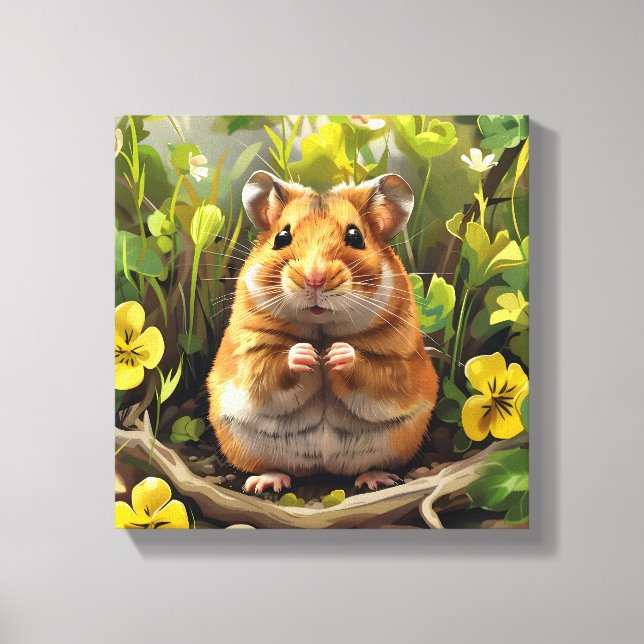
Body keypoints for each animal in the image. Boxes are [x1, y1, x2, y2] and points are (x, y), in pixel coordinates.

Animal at [207, 171, 438, 493]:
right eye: (282, 238)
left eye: (355, 237)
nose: (314, 279)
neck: (321, 330)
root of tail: (324, 467)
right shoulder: (249, 351)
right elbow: (270, 368)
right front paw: (307, 354)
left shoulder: (398, 360)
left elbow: (373, 371)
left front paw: (335, 354)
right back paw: (266, 482)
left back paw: (375, 479)